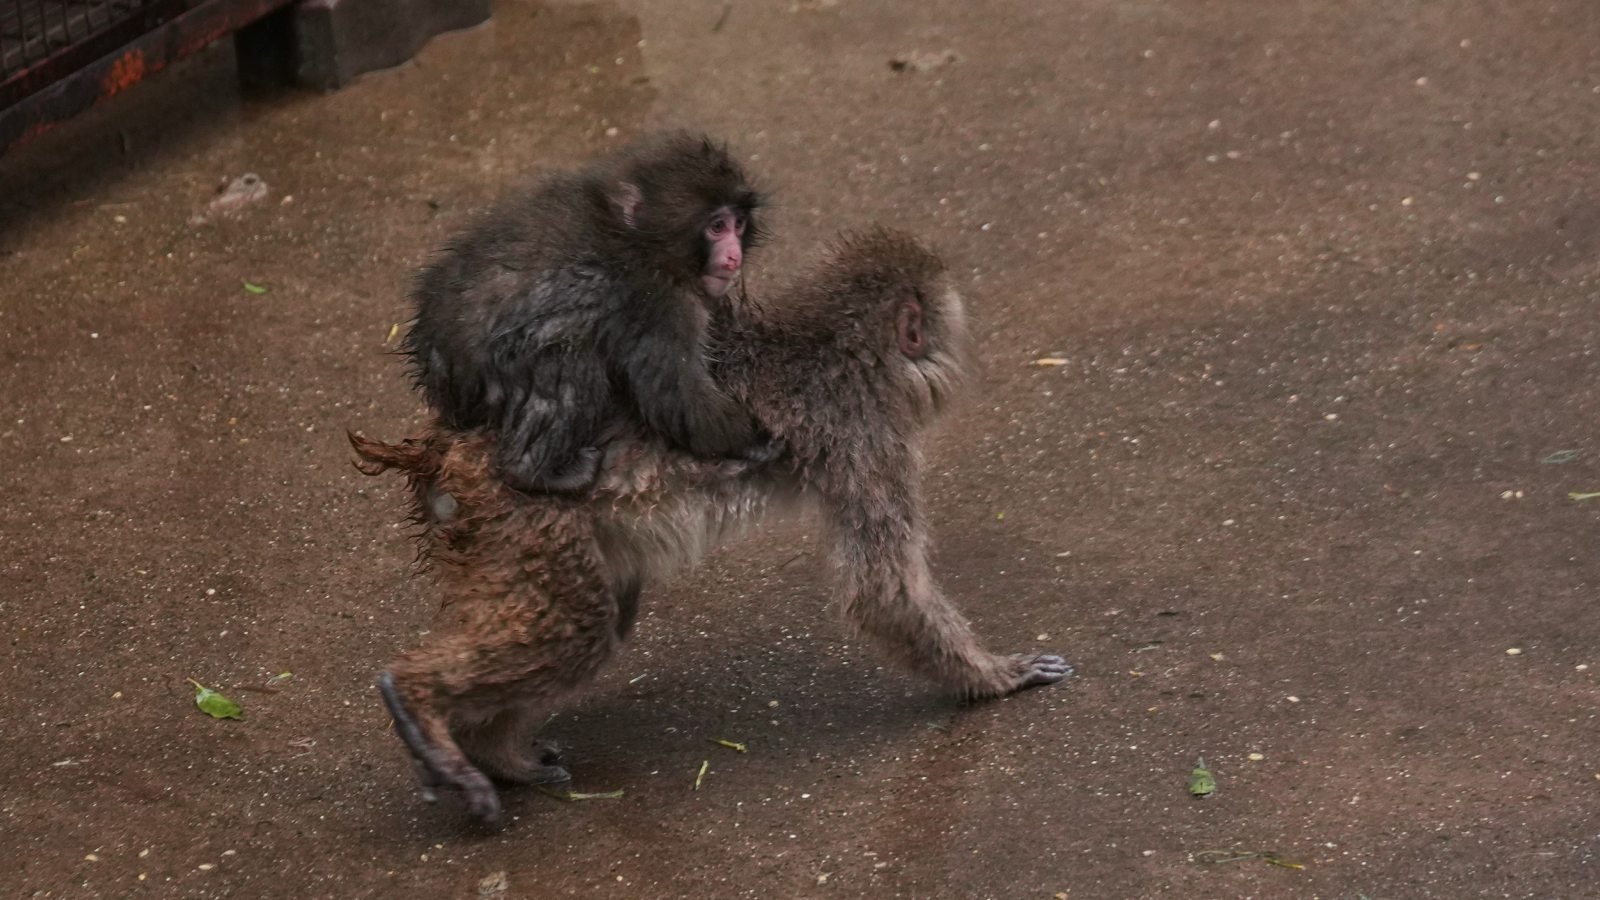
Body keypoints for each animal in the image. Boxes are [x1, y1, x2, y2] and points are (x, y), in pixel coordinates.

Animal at [352, 229, 1073, 825]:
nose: (956, 356)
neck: (834, 348)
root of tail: (447, 449)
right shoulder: (864, 437)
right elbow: (884, 593)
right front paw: (993, 677)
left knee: (601, 617)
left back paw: (492, 749)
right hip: (517, 519)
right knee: (578, 630)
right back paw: (420, 700)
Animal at [402, 131, 772, 494]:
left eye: (738, 224)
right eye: (717, 227)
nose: (733, 257)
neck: (643, 241)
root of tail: (435, 356)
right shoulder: (658, 304)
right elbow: (678, 397)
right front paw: (754, 442)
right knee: (569, 364)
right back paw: (532, 472)